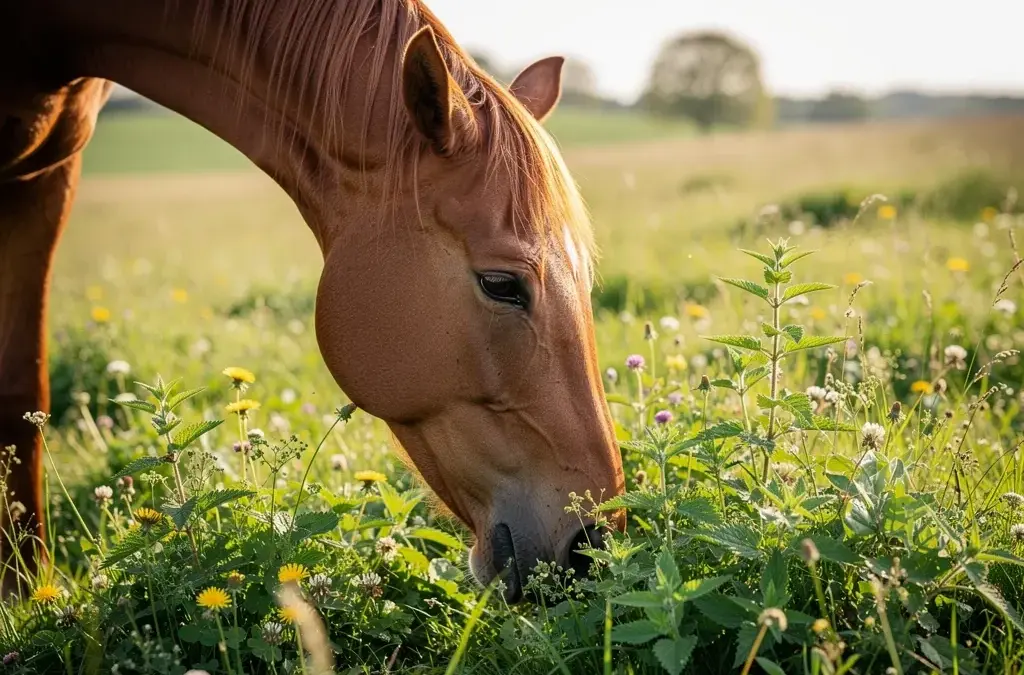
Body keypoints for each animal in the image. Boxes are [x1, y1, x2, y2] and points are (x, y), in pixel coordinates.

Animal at [0, 0, 625, 602]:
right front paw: (25, 594)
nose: (591, 547)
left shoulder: (49, 175)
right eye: (501, 284)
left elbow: (21, 390)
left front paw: (27, 591)